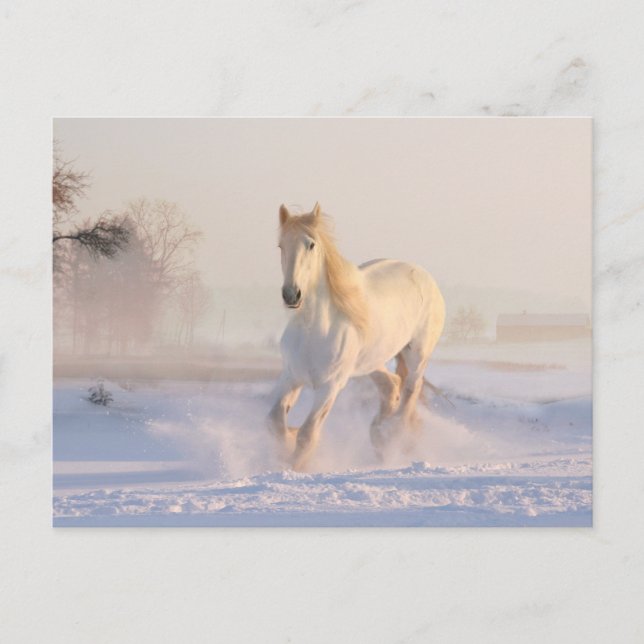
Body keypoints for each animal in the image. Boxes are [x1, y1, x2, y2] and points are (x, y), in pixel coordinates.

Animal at [267, 203, 445, 471]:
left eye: (311, 244)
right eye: (281, 245)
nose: (291, 294)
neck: (313, 331)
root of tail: (424, 275)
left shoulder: (330, 386)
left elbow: (307, 434)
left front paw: (295, 466)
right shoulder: (291, 376)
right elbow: (275, 422)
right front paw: (286, 446)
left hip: (417, 354)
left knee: (410, 391)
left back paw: (393, 437)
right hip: (371, 361)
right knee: (391, 385)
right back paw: (379, 435)